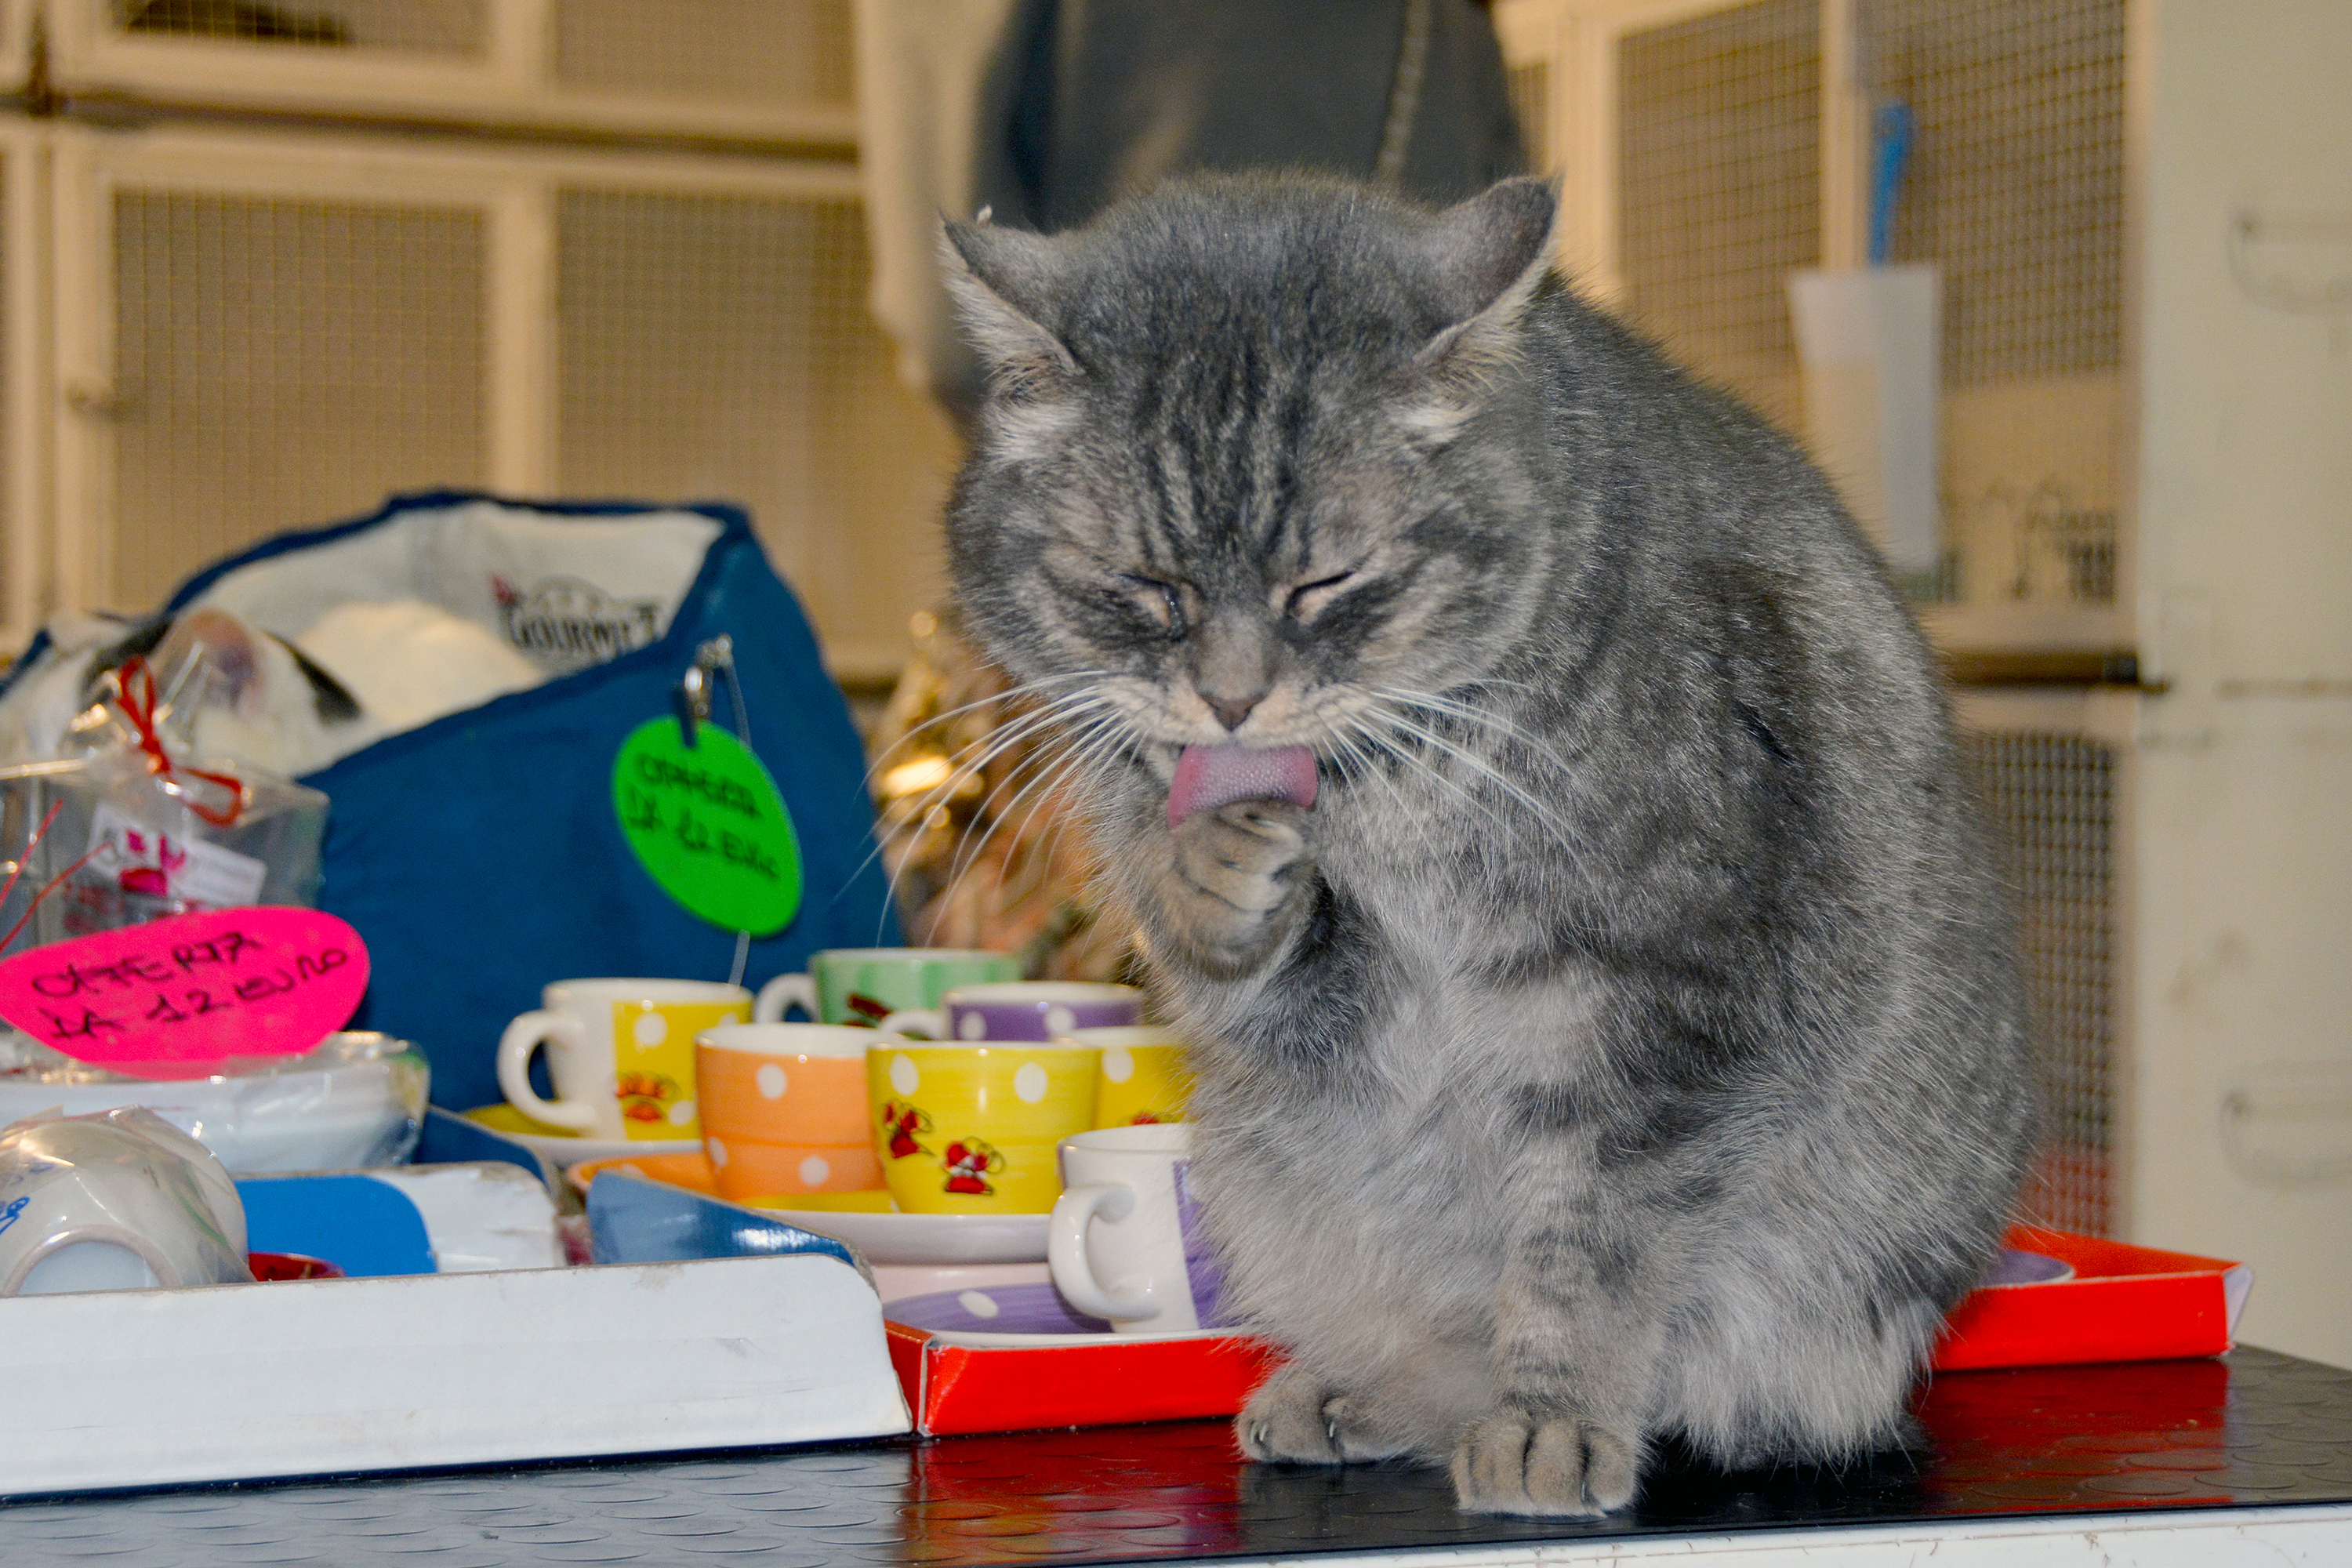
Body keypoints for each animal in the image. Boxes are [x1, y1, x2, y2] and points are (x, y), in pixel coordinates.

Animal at [936, 175, 2042, 1523]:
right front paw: (1209, 866)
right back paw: (1355, 1391)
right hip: (1265, 1168)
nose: (1232, 703)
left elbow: (1584, 1250)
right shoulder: (1327, 1008)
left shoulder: (1670, 1006)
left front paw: (1550, 1421)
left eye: (1326, 583)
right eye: (1148, 584)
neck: (1383, 798)